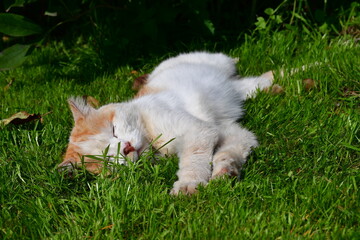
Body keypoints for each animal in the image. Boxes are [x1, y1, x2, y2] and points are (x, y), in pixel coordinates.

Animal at [59, 52, 274, 195]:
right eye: (108, 159)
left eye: (113, 129)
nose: (127, 148)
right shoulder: (229, 130)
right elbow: (230, 151)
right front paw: (226, 172)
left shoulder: (198, 130)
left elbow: (194, 158)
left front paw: (189, 184)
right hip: (239, 88)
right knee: (248, 84)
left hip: (216, 63)